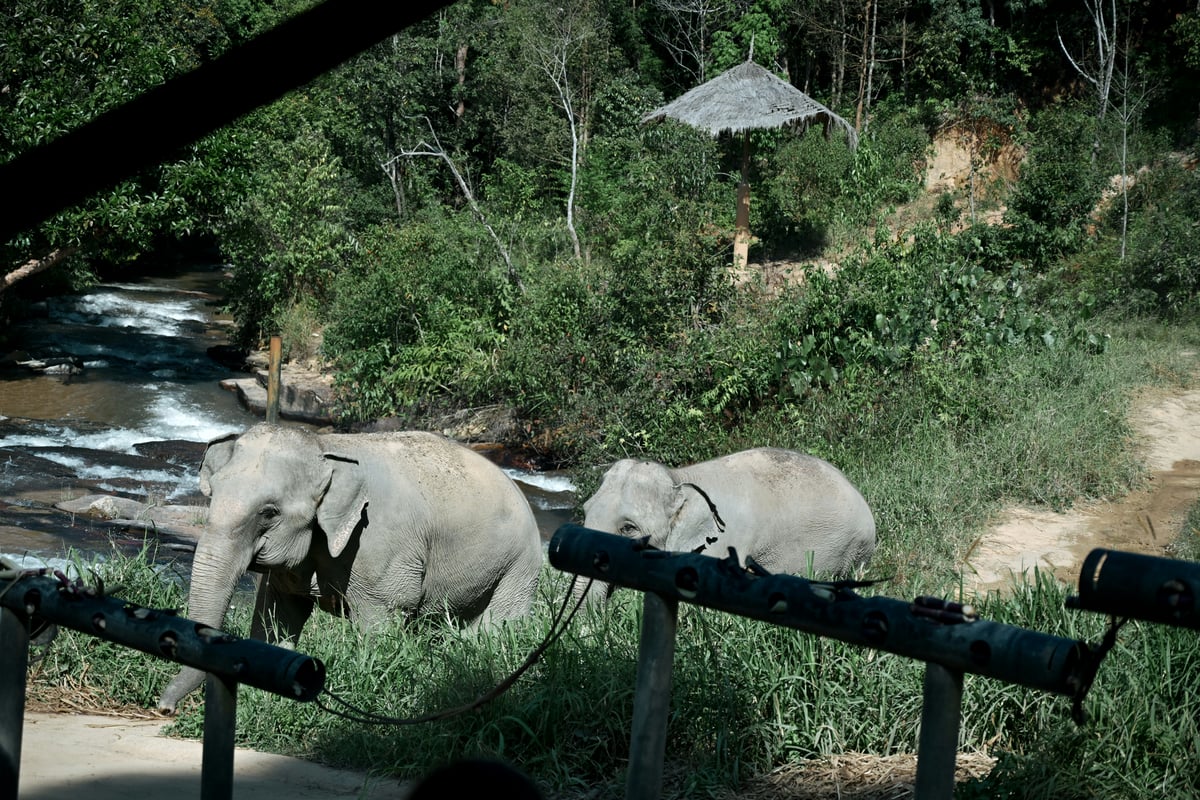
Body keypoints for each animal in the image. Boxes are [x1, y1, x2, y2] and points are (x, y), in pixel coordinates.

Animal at [157, 423, 543, 714]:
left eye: (269, 512)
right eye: (212, 495)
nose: (165, 708)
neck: (326, 448)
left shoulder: (381, 549)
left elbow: (382, 618)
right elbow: (278, 611)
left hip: (518, 566)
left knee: (497, 626)